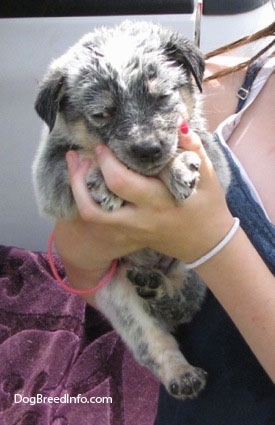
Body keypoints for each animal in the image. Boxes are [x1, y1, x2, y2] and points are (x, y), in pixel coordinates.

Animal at [31, 21, 231, 400]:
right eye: (102, 114)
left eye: (162, 97)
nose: (147, 148)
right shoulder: (50, 176)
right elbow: (85, 156)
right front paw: (105, 181)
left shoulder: (213, 158)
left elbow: (181, 148)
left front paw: (178, 166)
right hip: (119, 297)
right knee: (153, 340)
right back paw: (180, 373)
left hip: (194, 270)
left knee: (184, 301)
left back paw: (160, 288)